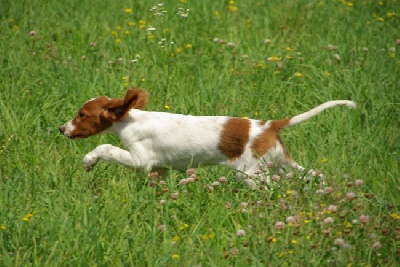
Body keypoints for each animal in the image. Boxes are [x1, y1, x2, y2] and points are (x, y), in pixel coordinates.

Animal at [60, 89, 356, 187]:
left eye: (81, 114)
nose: (61, 129)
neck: (131, 119)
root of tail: (269, 125)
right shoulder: (159, 169)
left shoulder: (140, 159)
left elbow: (105, 146)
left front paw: (89, 161)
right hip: (282, 163)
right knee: (314, 175)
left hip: (252, 173)